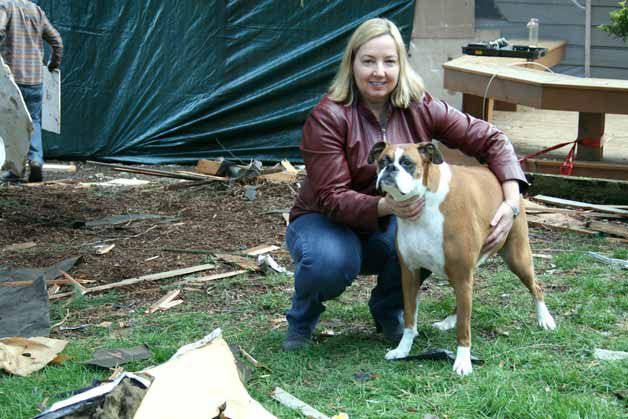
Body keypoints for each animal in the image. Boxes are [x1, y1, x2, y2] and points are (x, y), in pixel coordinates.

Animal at [366, 141, 556, 378]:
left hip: (516, 258)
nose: (389, 169)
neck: (424, 202)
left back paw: (545, 319)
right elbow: (410, 318)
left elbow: (464, 328)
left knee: (536, 287)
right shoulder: (409, 275)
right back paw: (449, 321)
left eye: (407, 163)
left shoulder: (462, 275)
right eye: (383, 161)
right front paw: (403, 349)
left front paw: (463, 361)